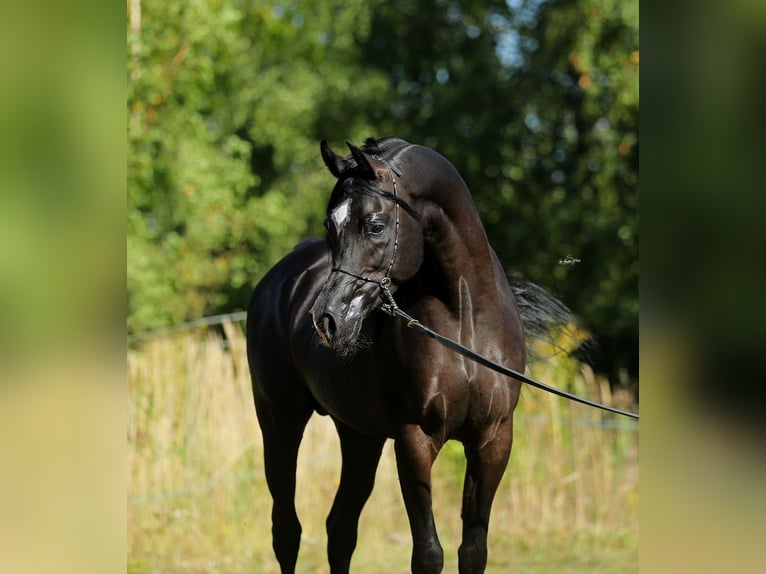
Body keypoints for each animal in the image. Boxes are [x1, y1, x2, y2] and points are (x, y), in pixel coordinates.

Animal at [246, 137, 531, 573]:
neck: (465, 318)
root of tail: (277, 280)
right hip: (279, 423)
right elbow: (428, 553)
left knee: (340, 529)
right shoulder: (415, 439)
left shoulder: (493, 438)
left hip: (359, 436)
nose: (328, 319)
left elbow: (473, 550)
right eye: (329, 225)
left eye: (375, 225)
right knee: (287, 531)